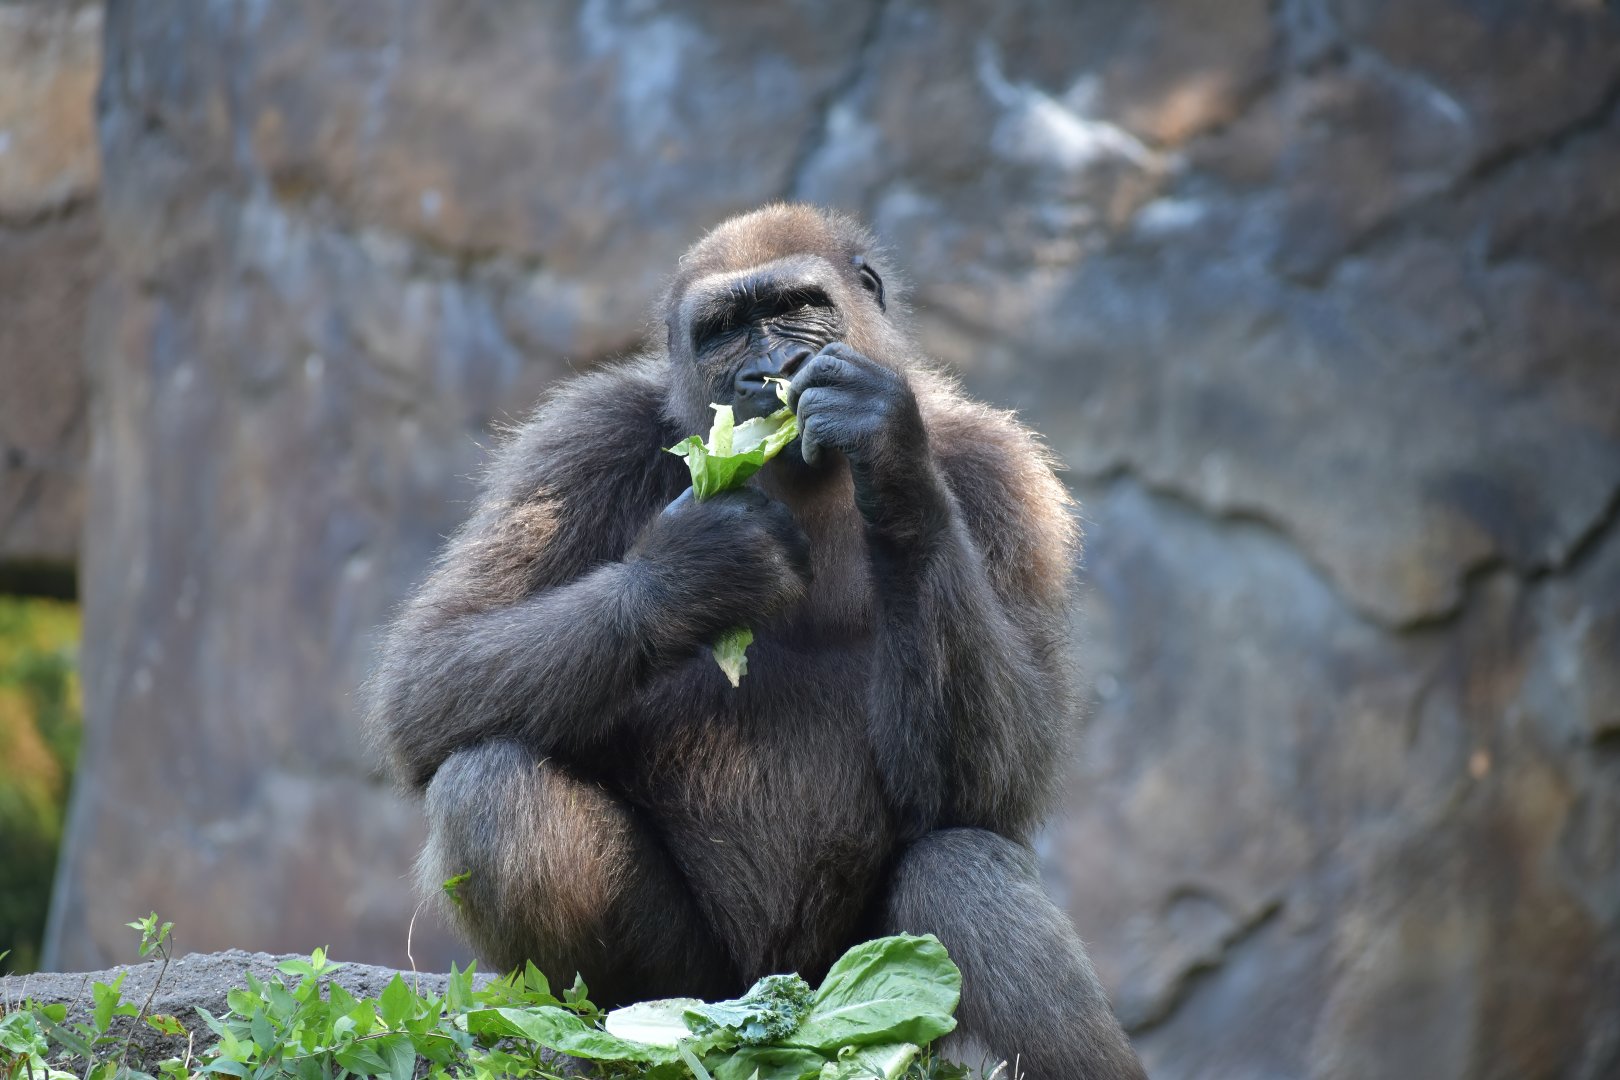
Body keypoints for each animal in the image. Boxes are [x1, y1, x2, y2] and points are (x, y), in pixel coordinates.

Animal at [364, 204, 1146, 1078]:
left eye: (796, 306)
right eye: (723, 332)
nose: (768, 370)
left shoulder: (1006, 477)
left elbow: (998, 785)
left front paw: (892, 464)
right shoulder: (584, 439)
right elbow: (428, 678)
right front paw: (693, 571)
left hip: (829, 983)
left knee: (962, 867)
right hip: (712, 987)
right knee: (490, 789)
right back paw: (611, 1024)